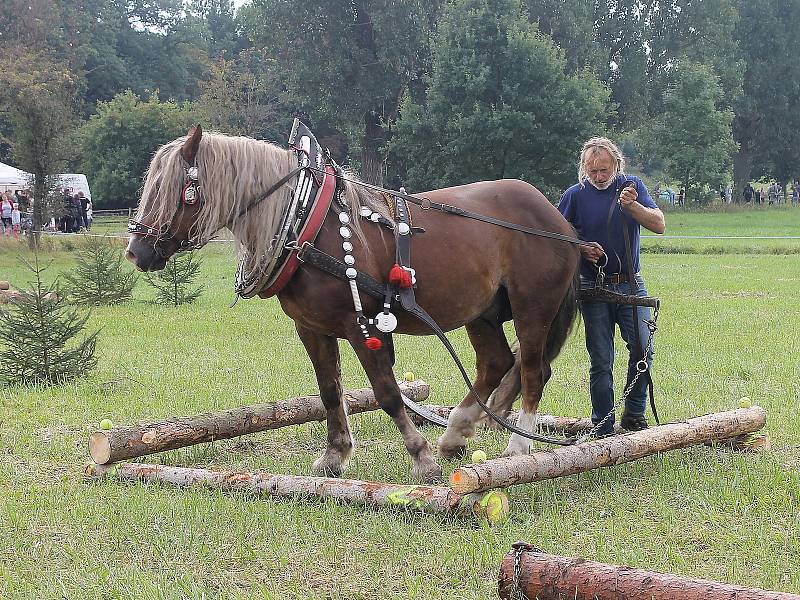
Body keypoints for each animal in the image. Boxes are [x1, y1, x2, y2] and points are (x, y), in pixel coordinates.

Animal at [125, 126, 580, 482]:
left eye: (176, 191)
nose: (136, 251)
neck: (305, 223)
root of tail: (557, 218)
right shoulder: (311, 328)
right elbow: (330, 391)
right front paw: (334, 455)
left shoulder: (363, 325)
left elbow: (387, 393)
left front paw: (421, 458)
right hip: (482, 312)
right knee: (497, 363)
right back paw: (456, 432)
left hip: (533, 306)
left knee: (532, 370)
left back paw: (517, 447)